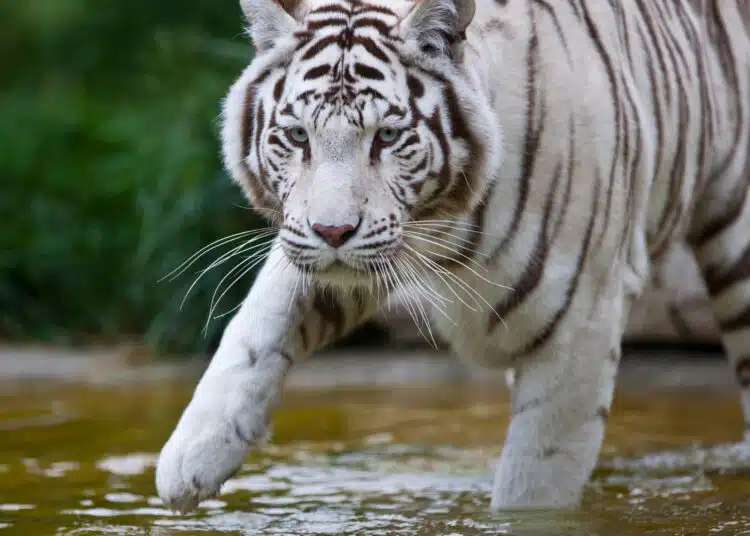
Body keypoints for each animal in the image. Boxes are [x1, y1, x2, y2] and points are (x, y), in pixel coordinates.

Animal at [155, 0, 750, 512]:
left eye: (387, 136)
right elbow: (256, 330)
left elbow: (533, 483)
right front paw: (190, 459)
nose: (333, 230)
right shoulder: (332, 252)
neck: (442, 229)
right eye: (298, 136)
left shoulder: (580, 322)